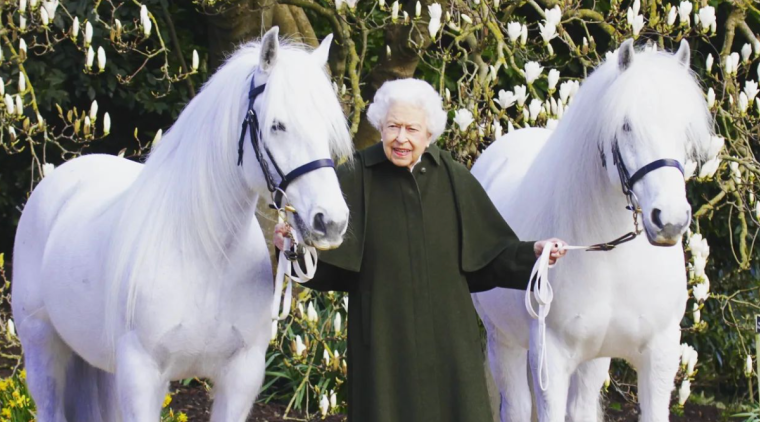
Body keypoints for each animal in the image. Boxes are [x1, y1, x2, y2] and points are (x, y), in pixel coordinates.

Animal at [11, 27, 352, 422]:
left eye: (327, 129)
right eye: (277, 125)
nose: (331, 222)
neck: (206, 256)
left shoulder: (240, 377)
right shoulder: (143, 377)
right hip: (43, 350)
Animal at [471, 39, 712, 422]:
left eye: (684, 128)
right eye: (626, 125)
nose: (670, 220)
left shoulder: (659, 355)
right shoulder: (550, 361)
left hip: (593, 359)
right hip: (503, 341)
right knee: (518, 405)